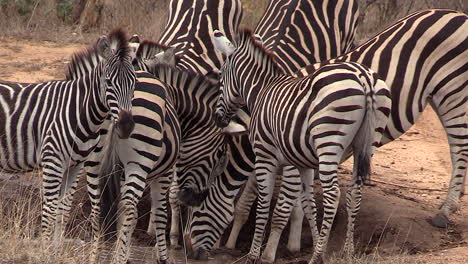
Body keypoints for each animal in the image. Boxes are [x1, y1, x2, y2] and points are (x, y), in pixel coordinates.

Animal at [0, 28, 137, 241]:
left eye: (134, 82)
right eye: (108, 82)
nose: (126, 126)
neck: (79, 110)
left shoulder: (75, 165)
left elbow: (62, 210)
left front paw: (55, 248)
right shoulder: (53, 162)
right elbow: (49, 213)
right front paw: (45, 249)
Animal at [188, 0, 360, 258]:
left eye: (199, 207)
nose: (187, 248)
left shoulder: (285, 150)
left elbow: (275, 201)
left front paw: (267, 252)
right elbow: (253, 193)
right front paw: (232, 242)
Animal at [212, 27, 392, 262]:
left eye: (220, 77)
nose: (217, 119)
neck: (261, 90)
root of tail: (364, 78)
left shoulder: (264, 156)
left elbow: (263, 203)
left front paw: (254, 255)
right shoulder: (303, 163)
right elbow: (309, 205)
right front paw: (318, 246)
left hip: (329, 141)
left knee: (333, 194)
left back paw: (316, 257)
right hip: (368, 143)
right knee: (355, 191)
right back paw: (347, 252)